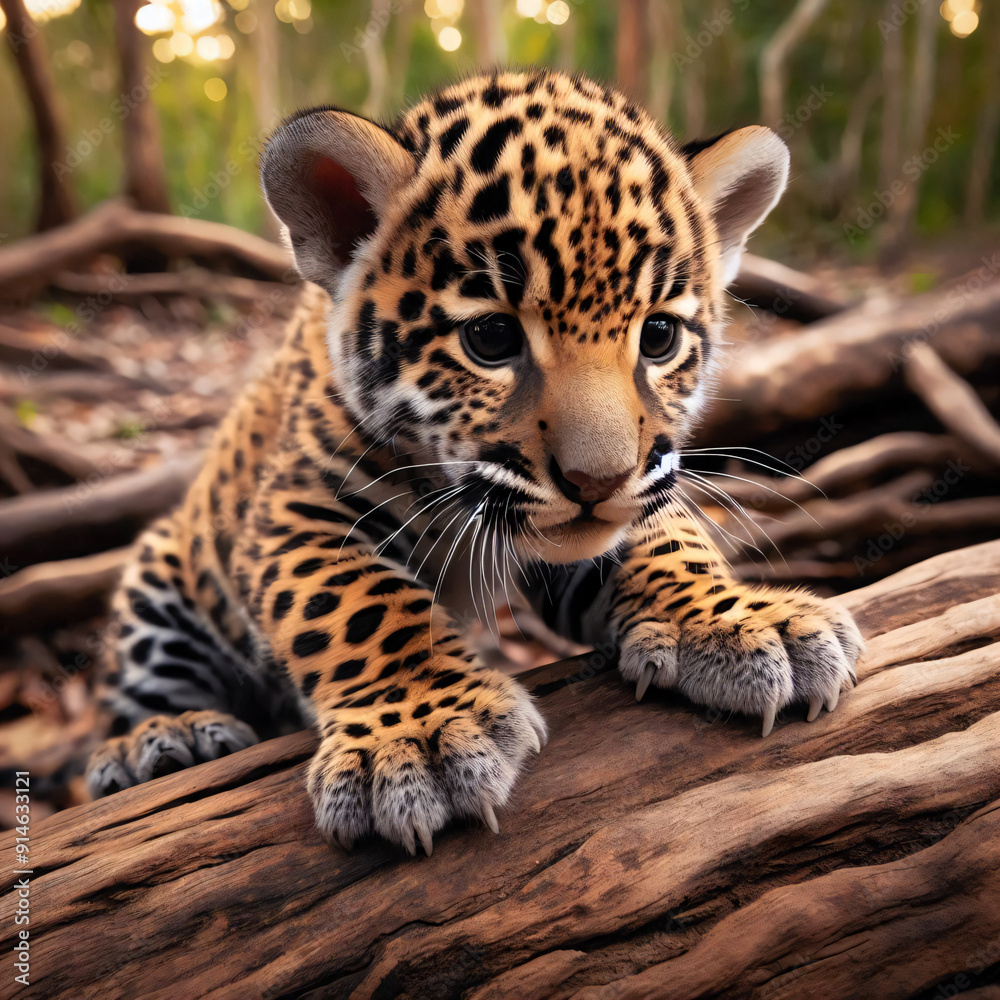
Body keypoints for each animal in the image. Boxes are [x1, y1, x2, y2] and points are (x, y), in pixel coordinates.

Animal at [86, 68, 862, 856]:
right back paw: (161, 741)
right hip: (160, 579)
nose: (598, 482)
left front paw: (742, 621)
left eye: (659, 337)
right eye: (490, 338)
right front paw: (418, 736)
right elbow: (358, 600)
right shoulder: (294, 507)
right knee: (136, 702)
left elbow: (667, 537)